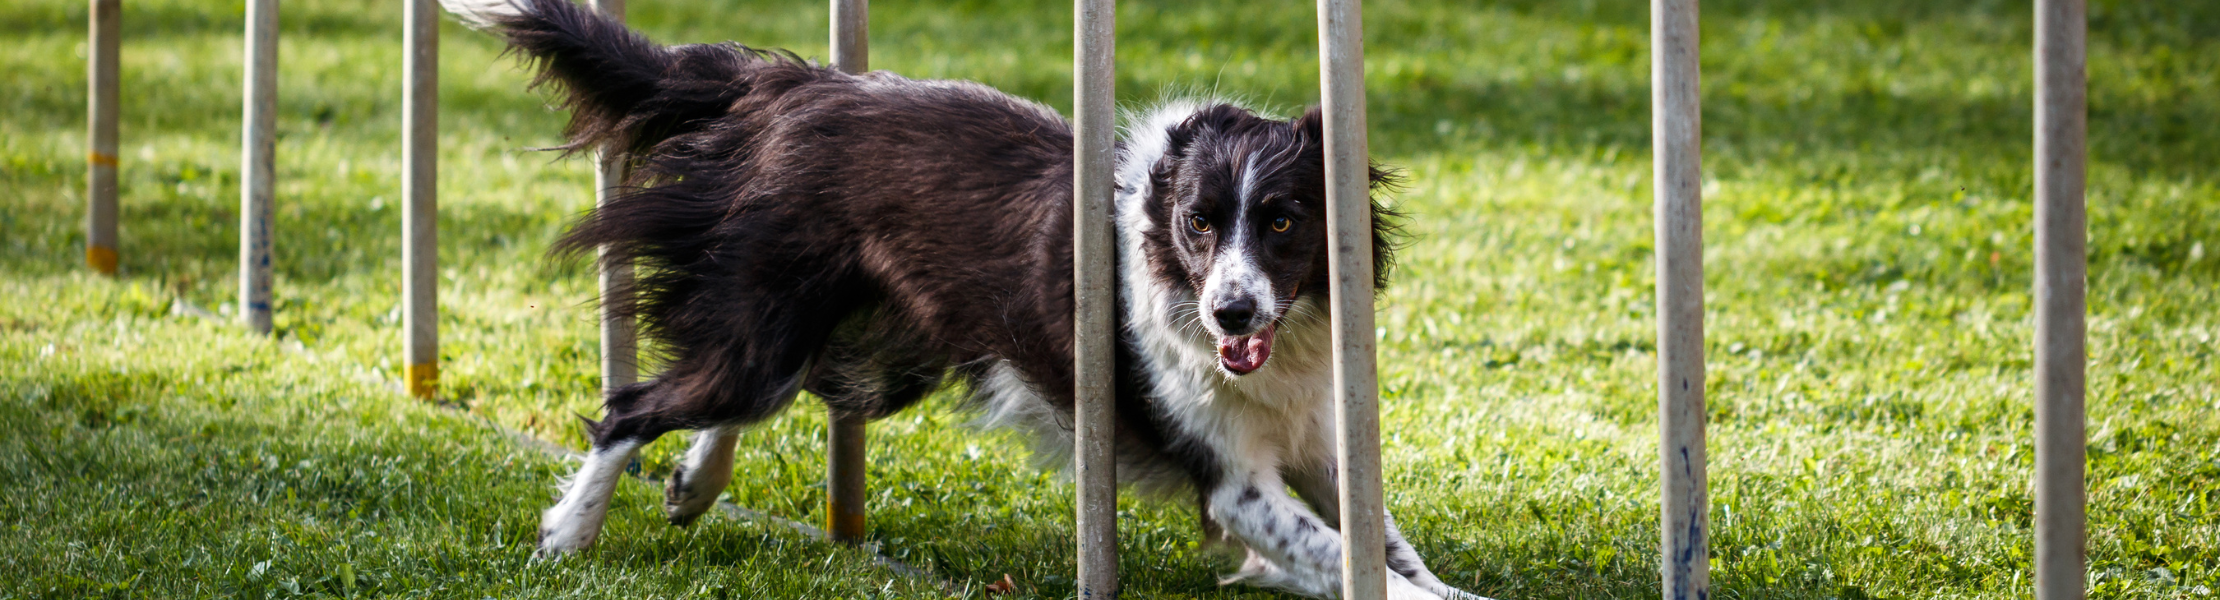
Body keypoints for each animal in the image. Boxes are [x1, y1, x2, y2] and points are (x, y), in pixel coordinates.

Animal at [441, 2, 1482, 595]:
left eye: (1282, 221)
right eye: (1197, 223)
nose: (1231, 315)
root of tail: (792, 87)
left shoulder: (1318, 439)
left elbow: (1382, 543)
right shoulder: (1234, 480)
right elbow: (1339, 554)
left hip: (870, 343)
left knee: (755, 391)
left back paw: (694, 485)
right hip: (778, 327)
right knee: (634, 405)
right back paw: (568, 533)